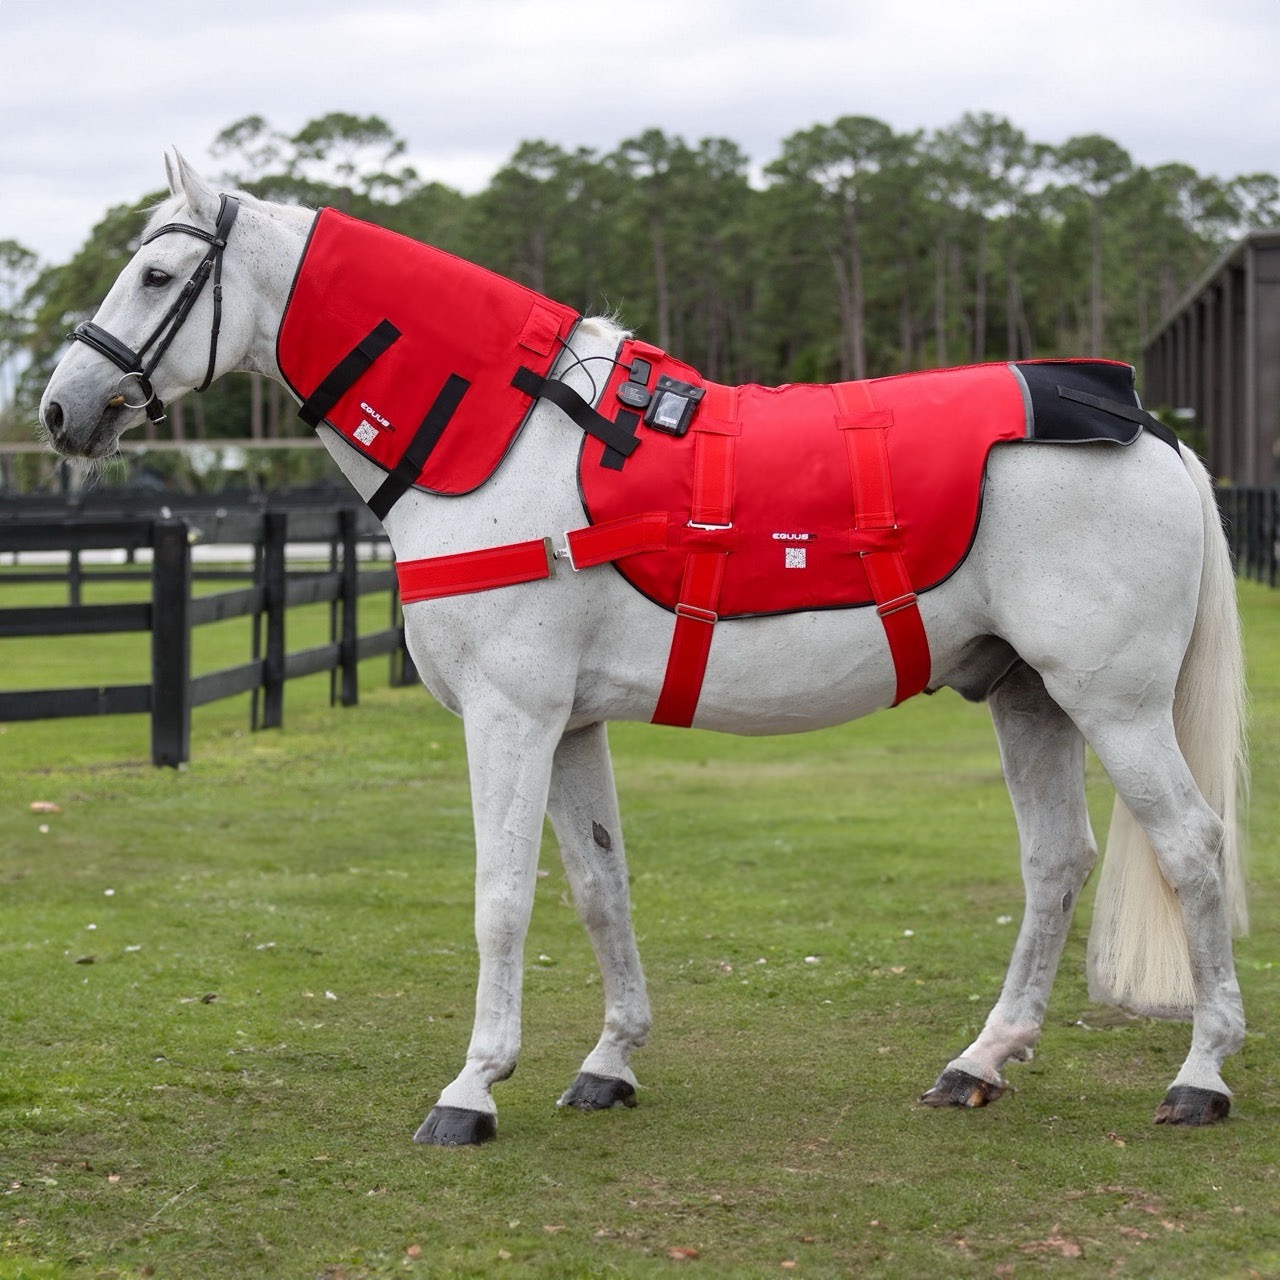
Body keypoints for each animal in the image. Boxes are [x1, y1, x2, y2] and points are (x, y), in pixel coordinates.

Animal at [39, 152, 1248, 1145]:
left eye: (157, 277)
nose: (61, 410)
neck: (502, 447)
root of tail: (1146, 430)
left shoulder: (511, 716)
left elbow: (501, 896)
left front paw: (472, 1088)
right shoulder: (569, 722)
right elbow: (596, 885)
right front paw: (606, 1063)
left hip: (1113, 703)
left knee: (1191, 846)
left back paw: (1200, 1075)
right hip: (1027, 694)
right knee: (1054, 861)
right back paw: (980, 1061)